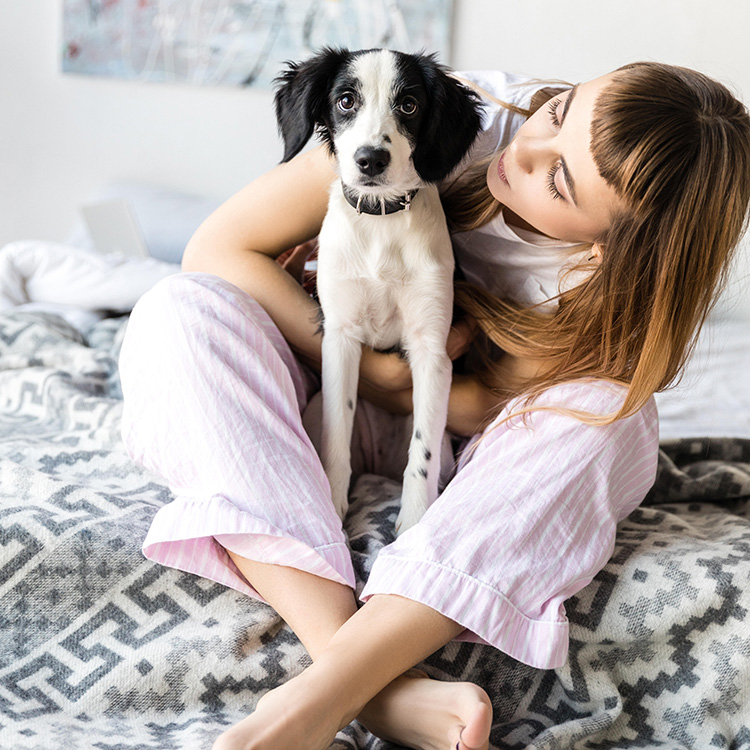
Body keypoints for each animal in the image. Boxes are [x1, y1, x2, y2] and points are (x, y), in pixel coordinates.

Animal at [274, 47, 482, 536]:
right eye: (346, 100)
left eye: (409, 105)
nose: (371, 159)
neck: (380, 220)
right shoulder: (340, 337)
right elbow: (336, 433)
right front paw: (333, 507)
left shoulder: (431, 348)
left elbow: (422, 451)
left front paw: (414, 522)